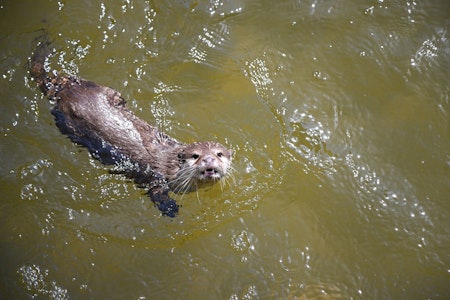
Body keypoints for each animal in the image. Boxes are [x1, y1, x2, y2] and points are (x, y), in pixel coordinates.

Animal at [29, 38, 232, 218]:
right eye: (196, 156)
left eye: (219, 154)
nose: (209, 160)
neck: (171, 167)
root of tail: (65, 90)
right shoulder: (155, 178)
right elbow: (156, 194)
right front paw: (171, 209)